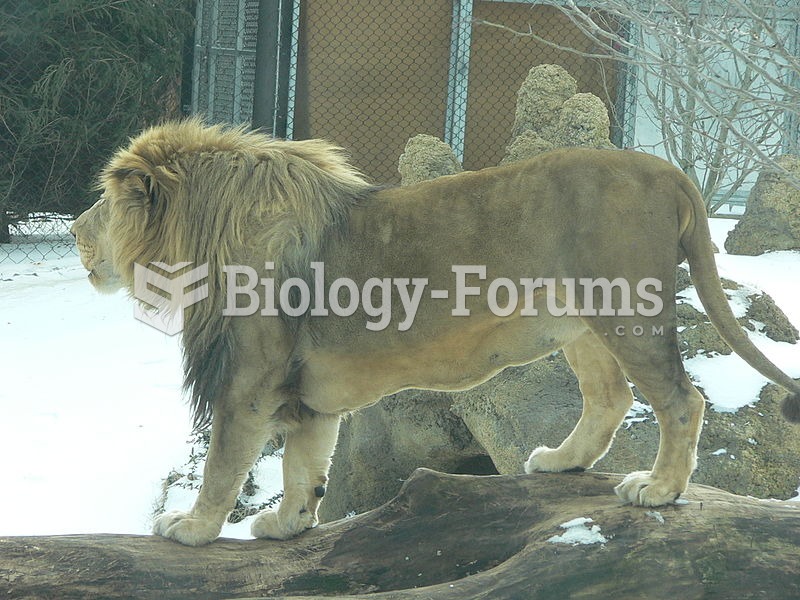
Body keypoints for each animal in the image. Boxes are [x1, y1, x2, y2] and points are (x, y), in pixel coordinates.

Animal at [70, 119, 800, 548]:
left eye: (105, 200)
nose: (74, 229)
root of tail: (665, 169)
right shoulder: (305, 396)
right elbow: (305, 464)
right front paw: (287, 523)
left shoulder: (246, 385)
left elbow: (225, 464)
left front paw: (192, 528)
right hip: (582, 322)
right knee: (611, 397)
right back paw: (562, 460)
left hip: (627, 310)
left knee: (682, 399)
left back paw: (660, 488)